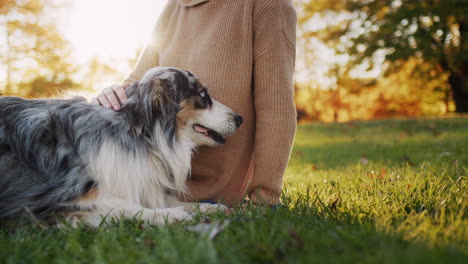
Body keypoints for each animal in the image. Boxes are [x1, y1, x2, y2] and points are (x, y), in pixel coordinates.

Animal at [0, 66, 243, 227]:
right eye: (202, 94)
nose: (240, 118)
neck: (140, 135)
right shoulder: (57, 198)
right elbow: (123, 205)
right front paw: (169, 215)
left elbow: (164, 199)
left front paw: (208, 207)